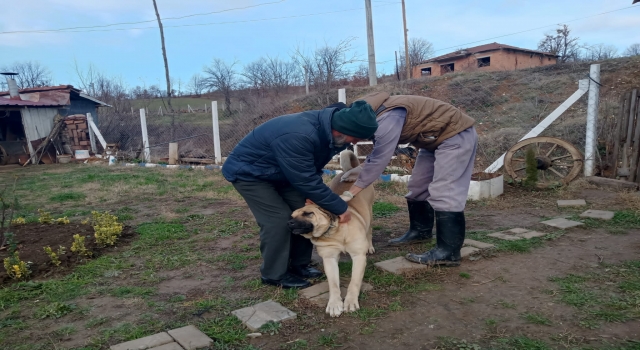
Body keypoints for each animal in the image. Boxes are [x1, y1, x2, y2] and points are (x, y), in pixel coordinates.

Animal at [286, 150, 372, 318]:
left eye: (308, 213)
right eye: (292, 216)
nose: (289, 223)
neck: (336, 232)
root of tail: (347, 171)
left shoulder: (358, 256)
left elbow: (354, 282)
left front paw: (350, 302)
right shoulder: (329, 258)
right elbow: (333, 284)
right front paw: (334, 304)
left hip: (370, 213)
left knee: (369, 231)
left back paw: (370, 246)